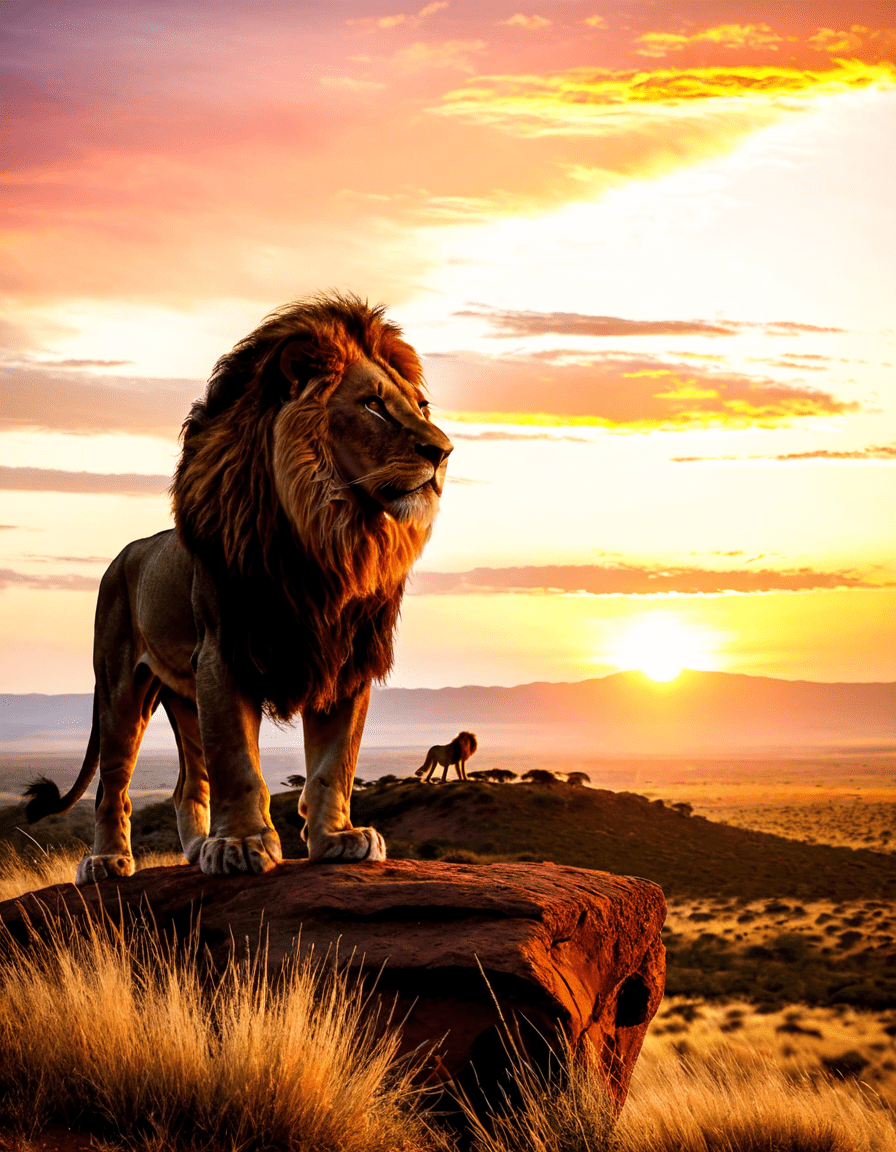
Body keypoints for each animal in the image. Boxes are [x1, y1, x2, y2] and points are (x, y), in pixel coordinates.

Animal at [25, 293, 453, 884]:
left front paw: (338, 839)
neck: (329, 538)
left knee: (187, 786)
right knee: (114, 785)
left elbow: (334, 762)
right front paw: (243, 845)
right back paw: (108, 861)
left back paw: (197, 848)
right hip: (119, 689)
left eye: (421, 406)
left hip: (182, 698)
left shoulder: (345, 657)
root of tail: (125, 554)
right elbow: (238, 762)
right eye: (372, 406)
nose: (444, 451)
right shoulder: (223, 653)